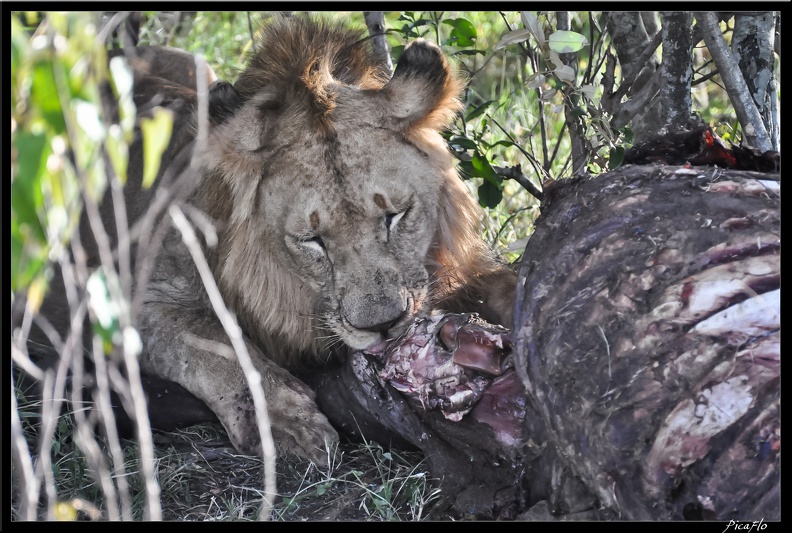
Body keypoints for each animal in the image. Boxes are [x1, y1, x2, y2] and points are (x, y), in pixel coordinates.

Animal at [24, 14, 516, 464]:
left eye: (395, 216)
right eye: (313, 240)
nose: (382, 326)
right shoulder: (127, 299)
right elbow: (219, 346)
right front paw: (286, 423)